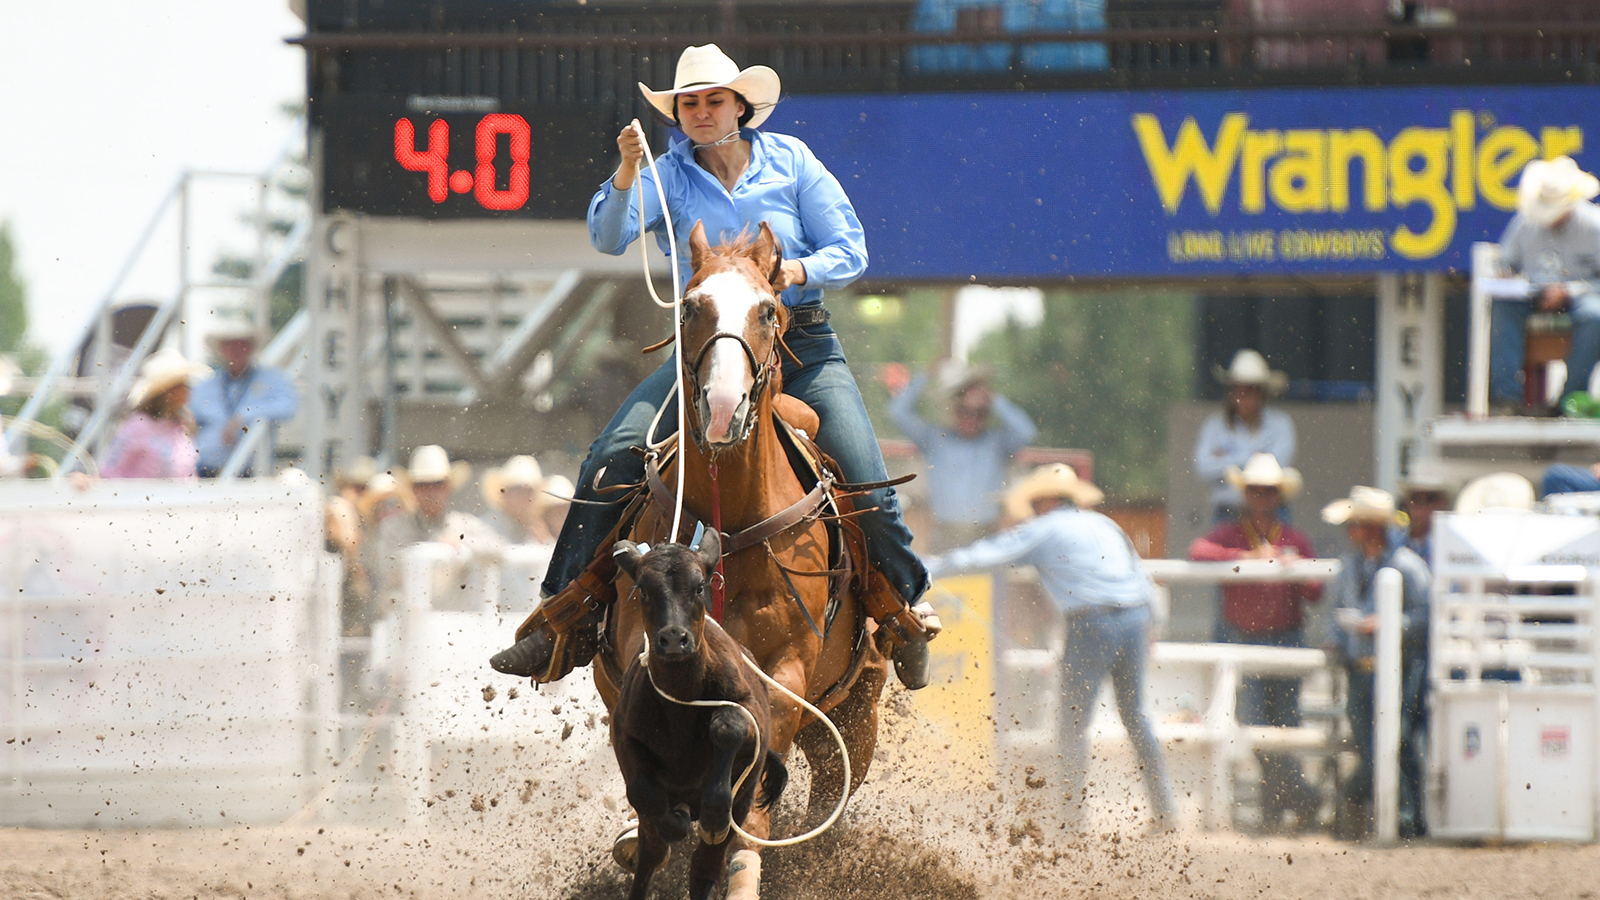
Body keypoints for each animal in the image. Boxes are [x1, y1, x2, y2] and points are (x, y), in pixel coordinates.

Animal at [595, 219, 889, 896]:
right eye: (689, 306)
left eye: (768, 310)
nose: (724, 407)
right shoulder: (638, 648)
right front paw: (648, 833)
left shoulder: (787, 671)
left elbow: (752, 766)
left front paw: (740, 861)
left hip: (855, 719)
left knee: (826, 791)